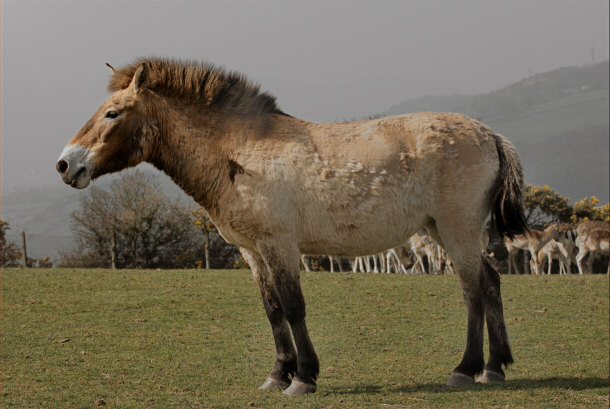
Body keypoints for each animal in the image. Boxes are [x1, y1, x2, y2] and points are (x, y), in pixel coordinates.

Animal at [57, 57, 528, 392]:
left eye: (112, 114)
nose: (65, 164)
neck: (240, 151)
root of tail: (488, 134)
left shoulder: (280, 245)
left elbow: (293, 305)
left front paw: (303, 378)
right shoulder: (253, 251)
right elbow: (271, 308)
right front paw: (277, 373)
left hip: (456, 229)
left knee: (472, 290)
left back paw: (465, 369)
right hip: (440, 230)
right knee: (490, 282)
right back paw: (494, 367)